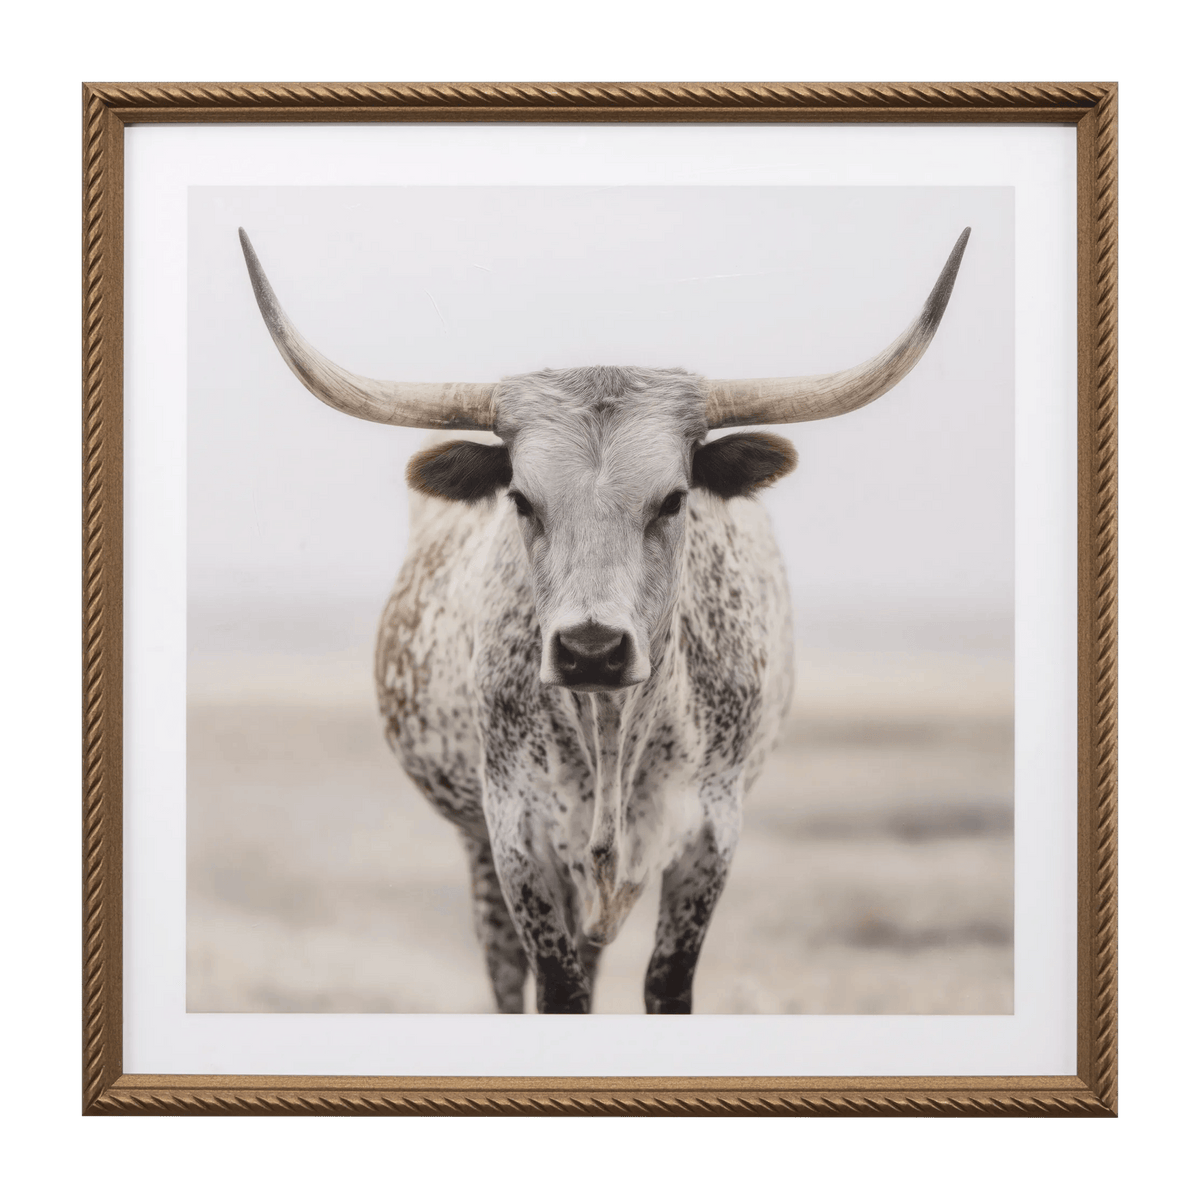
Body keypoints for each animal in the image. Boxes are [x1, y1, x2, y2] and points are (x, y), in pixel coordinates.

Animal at [238, 226, 970, 1014]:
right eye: (521, 499)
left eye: (675, 498)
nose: (591, 648)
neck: (613, 731)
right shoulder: (517, 839)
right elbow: (556, 988)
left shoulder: (710, 836)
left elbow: (665, 982)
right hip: (482, 852)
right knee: (507, 976)